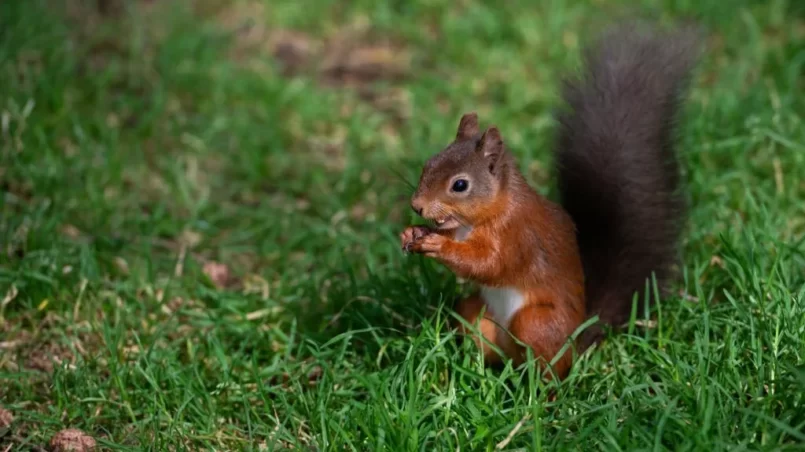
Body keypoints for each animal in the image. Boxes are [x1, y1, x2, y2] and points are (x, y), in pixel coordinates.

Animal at [398, 23, 700, 380]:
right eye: (429, 164)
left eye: (460, 185)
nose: (417, 206)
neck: (478, 220)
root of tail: (578, 340)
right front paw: (413, 232)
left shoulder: (518, 236)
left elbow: (489, 265)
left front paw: (438, 246)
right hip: (475, 313)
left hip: (538, 323)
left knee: (547, 366)